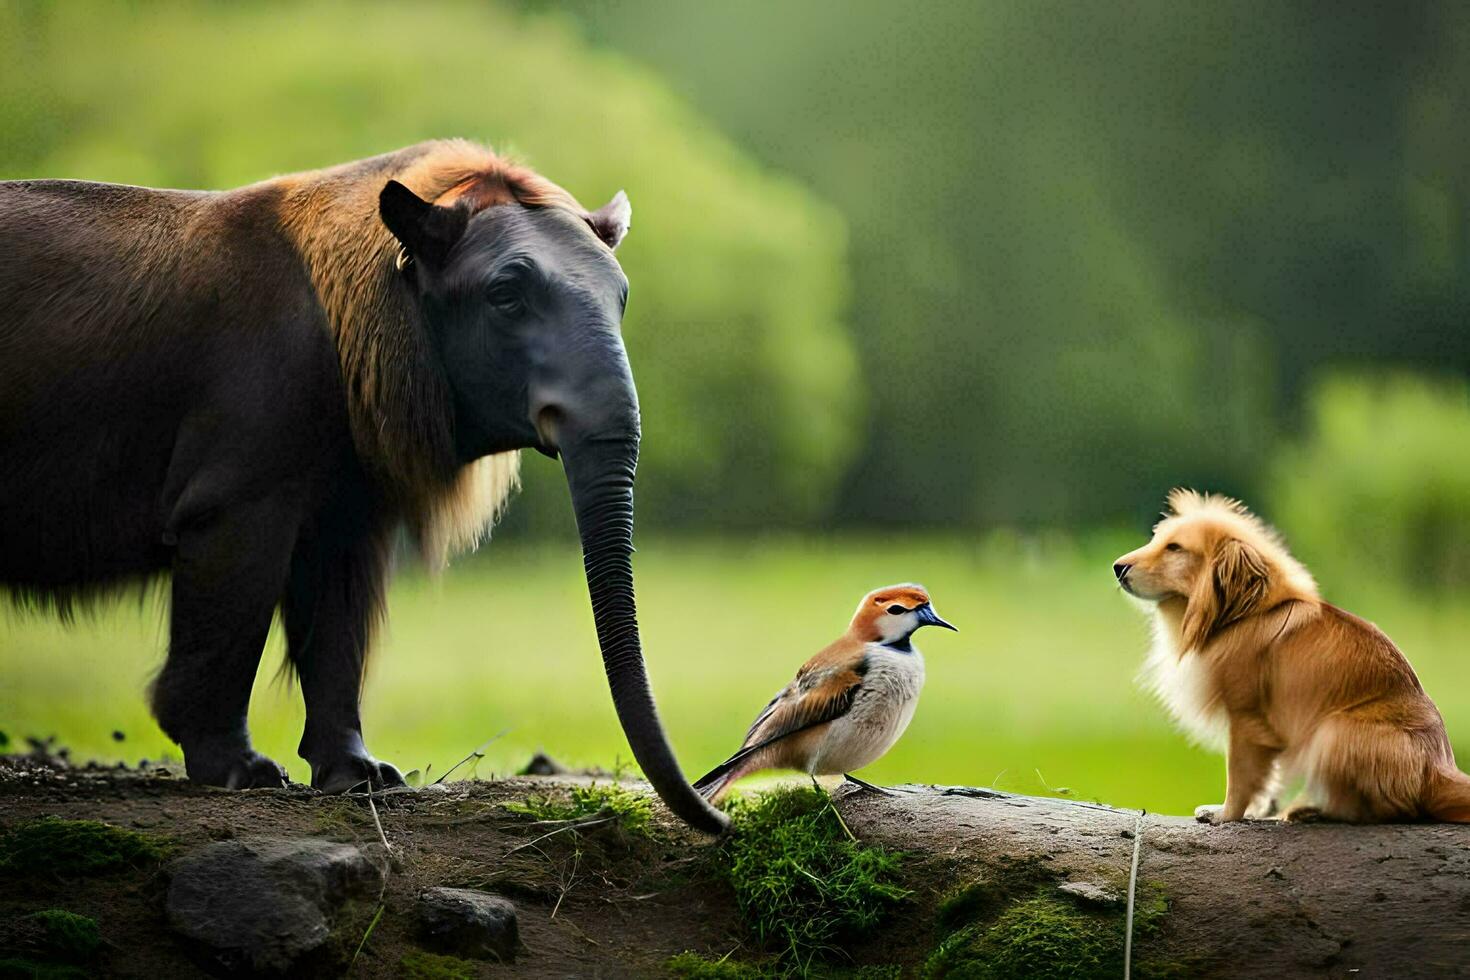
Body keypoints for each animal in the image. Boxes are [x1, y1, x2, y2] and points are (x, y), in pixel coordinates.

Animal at [1111, 487, 1470, 822]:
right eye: (1157, 540)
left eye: (1175, 548)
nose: (1118, 567)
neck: (1244, 614)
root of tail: (1436, 773)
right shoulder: (1280, 726)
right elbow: (1272, 777)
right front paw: (1258, 810)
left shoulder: (1246, 719)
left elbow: (1240, 776)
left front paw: (1226, 814)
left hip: (1332, 733)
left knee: (1389, 810)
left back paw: (1317, 810)